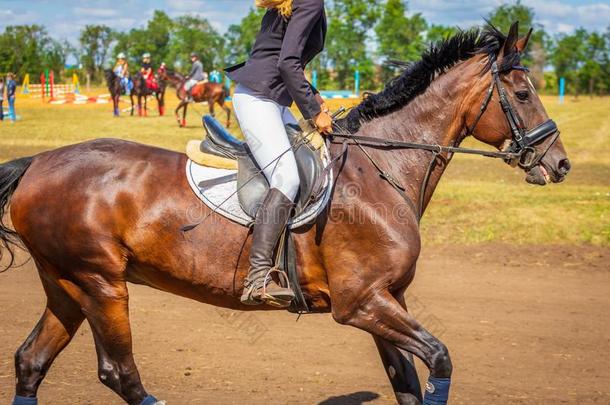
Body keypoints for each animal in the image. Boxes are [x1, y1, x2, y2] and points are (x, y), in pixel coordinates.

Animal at [2, 25, 568, 404]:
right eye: (522, 93)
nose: (559, 163)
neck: (381, 170)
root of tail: (38, 163)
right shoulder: (361, 303)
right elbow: (440, 358)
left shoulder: (386, 300)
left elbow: (408, 382)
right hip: (101, 284)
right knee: (118, 372)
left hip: (68, 285)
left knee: (31, 361)